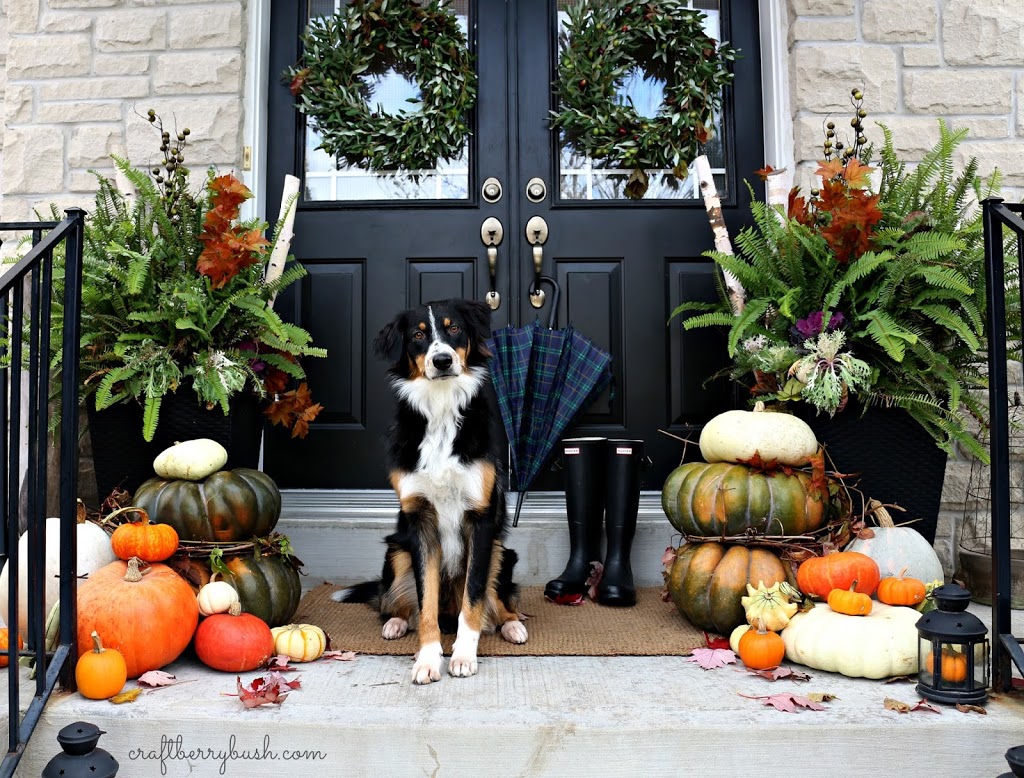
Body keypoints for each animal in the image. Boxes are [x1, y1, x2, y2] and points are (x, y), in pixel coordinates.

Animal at [333, 296, 528, 679]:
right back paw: (395, 623)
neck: (440, 410)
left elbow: (473, 598)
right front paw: (427, 658)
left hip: (502, 552)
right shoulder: (419, 520)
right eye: (418, 336)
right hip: (397, 551)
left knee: (499, 601)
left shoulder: (481, 520)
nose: (442, 361)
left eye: (455, 329)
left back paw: (513, 625)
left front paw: (463, 655)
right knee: (395, 602)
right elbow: (426, 603)